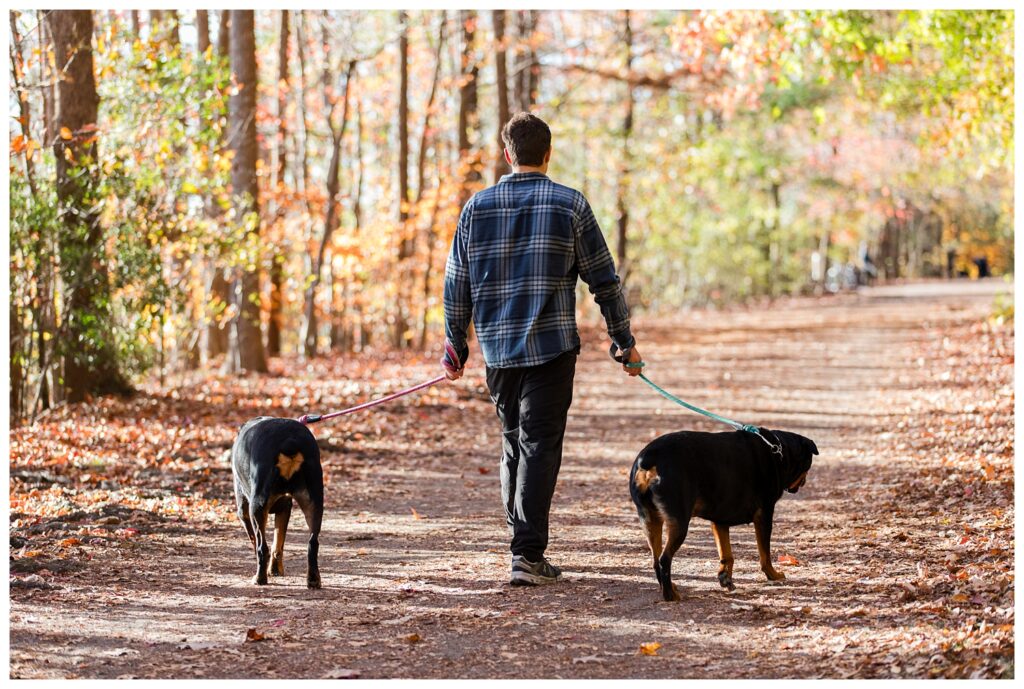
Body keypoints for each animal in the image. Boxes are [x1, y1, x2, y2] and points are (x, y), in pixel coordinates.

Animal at [232, 415, 323, 589]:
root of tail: (289, 441)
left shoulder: (243, 511)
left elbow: (256, 541)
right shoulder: (285, 508)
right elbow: (278, 543)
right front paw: (275, 569)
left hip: (256, 506)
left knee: (262, 547)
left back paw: (259, 579)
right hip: (314, 501)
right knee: (312, 543)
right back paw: (313, 579)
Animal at [622, 427, 815, 597]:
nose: (805, 482)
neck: (779, 452)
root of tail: (649, 459)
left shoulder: (719, 521)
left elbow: (726, 554)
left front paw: (725, 577)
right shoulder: (765, 514)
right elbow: (765, 554)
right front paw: (773, 575)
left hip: (649, 519)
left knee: (655, 560)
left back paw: (670, 588)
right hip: (679, 521)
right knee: (664, 559)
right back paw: (671, 595)